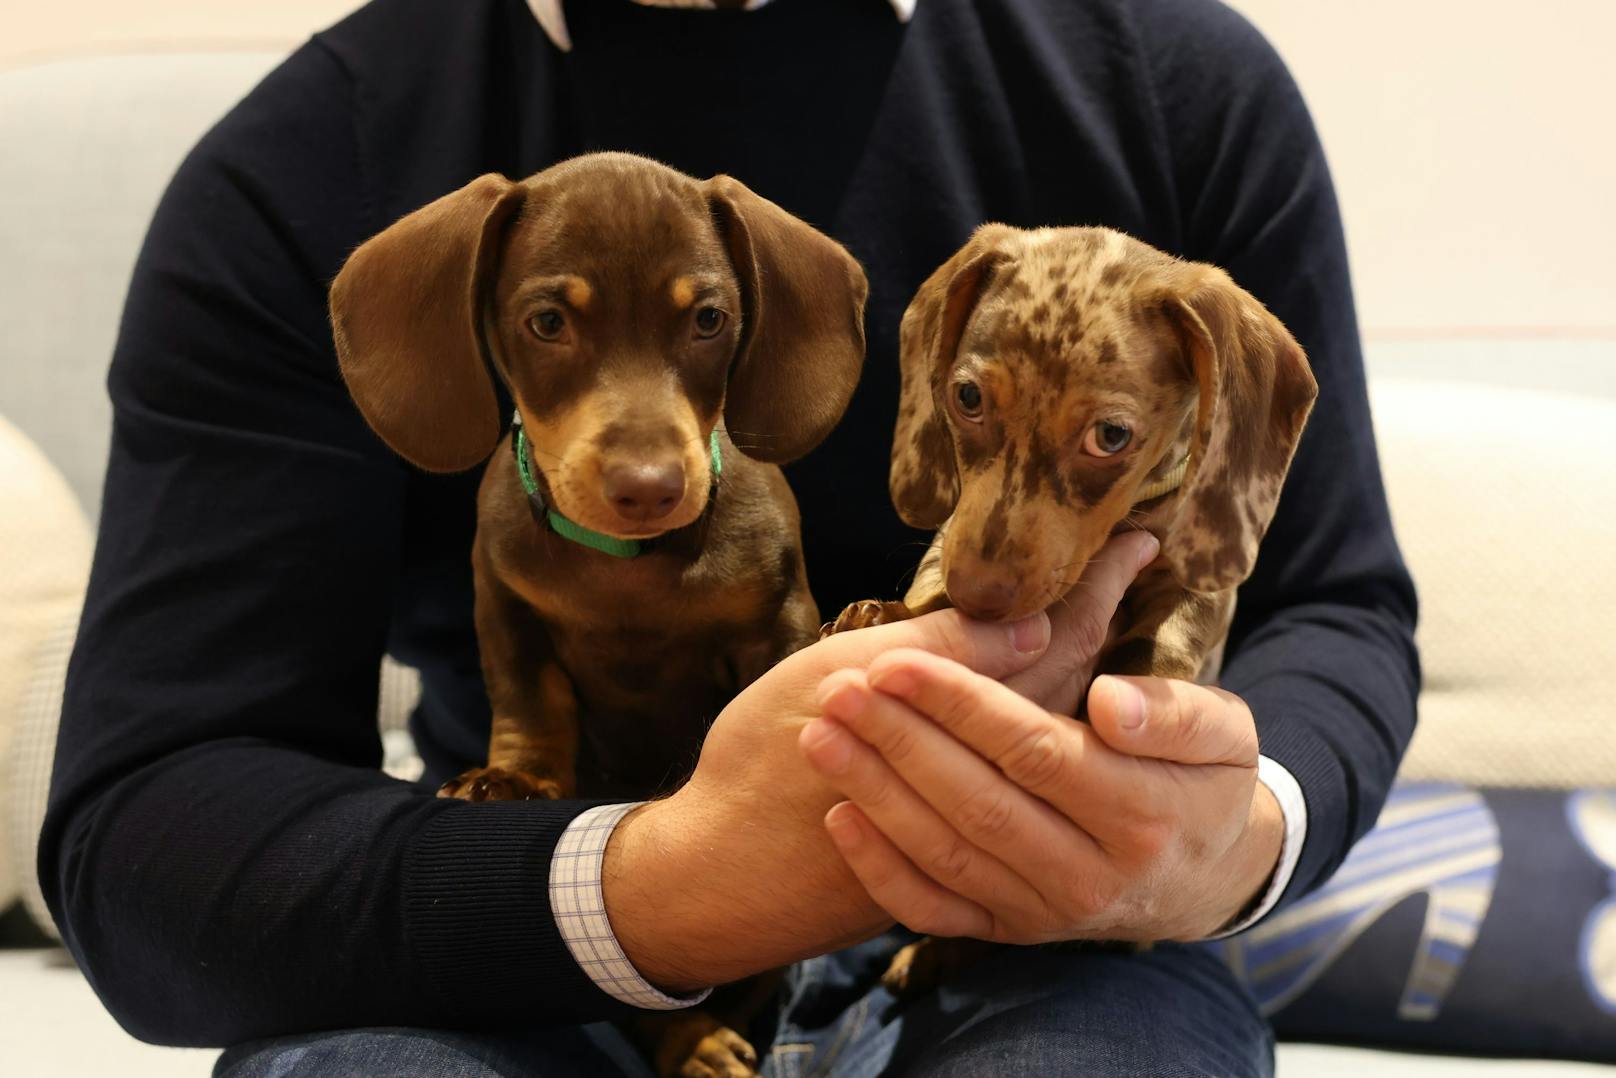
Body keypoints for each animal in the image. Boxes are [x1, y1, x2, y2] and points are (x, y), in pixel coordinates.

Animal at [328, 151, 872, 1078]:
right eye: (547, 321)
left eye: (708, 319)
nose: (649, 487)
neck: (628, 564)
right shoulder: (506, 608)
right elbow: (530, 702)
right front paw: (513, 778)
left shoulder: (773, 615)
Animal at [827, 223, 1318, 1002]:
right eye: (967, 396)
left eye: (1110, 438)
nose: (979, 597)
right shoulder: (951, 538)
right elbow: (930, 573)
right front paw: (886, 612)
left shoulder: (1197, 592)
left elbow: (1163, 639)